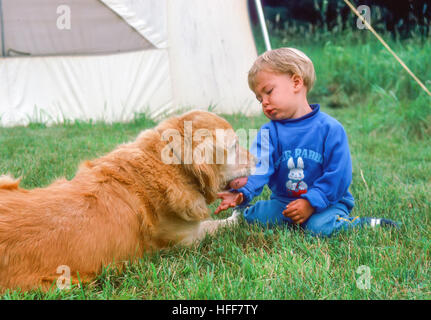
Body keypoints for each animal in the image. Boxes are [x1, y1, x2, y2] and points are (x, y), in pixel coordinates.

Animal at [0, 110, 256, 292]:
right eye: (235, 145)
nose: (257, 159)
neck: (172, 164)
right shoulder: (187, 240)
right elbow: (216, 225)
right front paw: (237, 217)